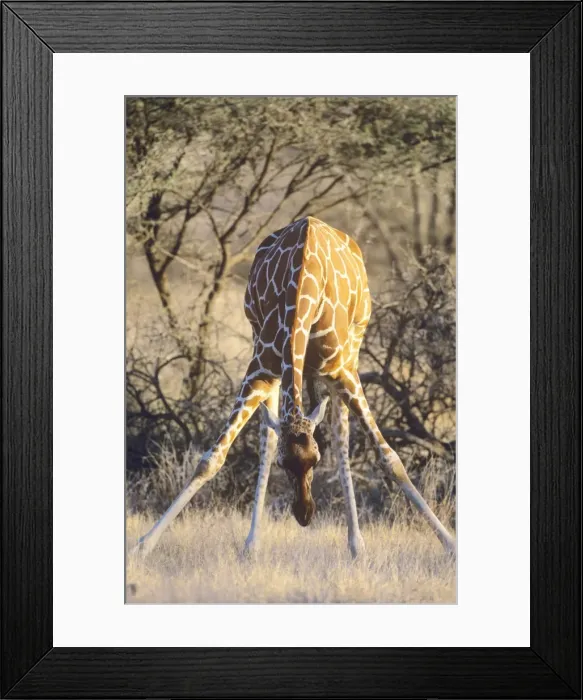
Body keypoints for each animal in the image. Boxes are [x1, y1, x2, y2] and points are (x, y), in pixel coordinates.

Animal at [133, 216, 456, 558]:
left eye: (315, 459)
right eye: (284, 464)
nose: (304, 515)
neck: (302, 292)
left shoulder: (343, 371)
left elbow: (390, 459)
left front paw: (450, 544)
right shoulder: (260, 369)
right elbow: (212, 459)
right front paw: (142, 546)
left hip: (352, 349)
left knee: (341, 437)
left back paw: (356, 545)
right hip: (267, 351)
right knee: (269, 435)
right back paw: (252, 545)